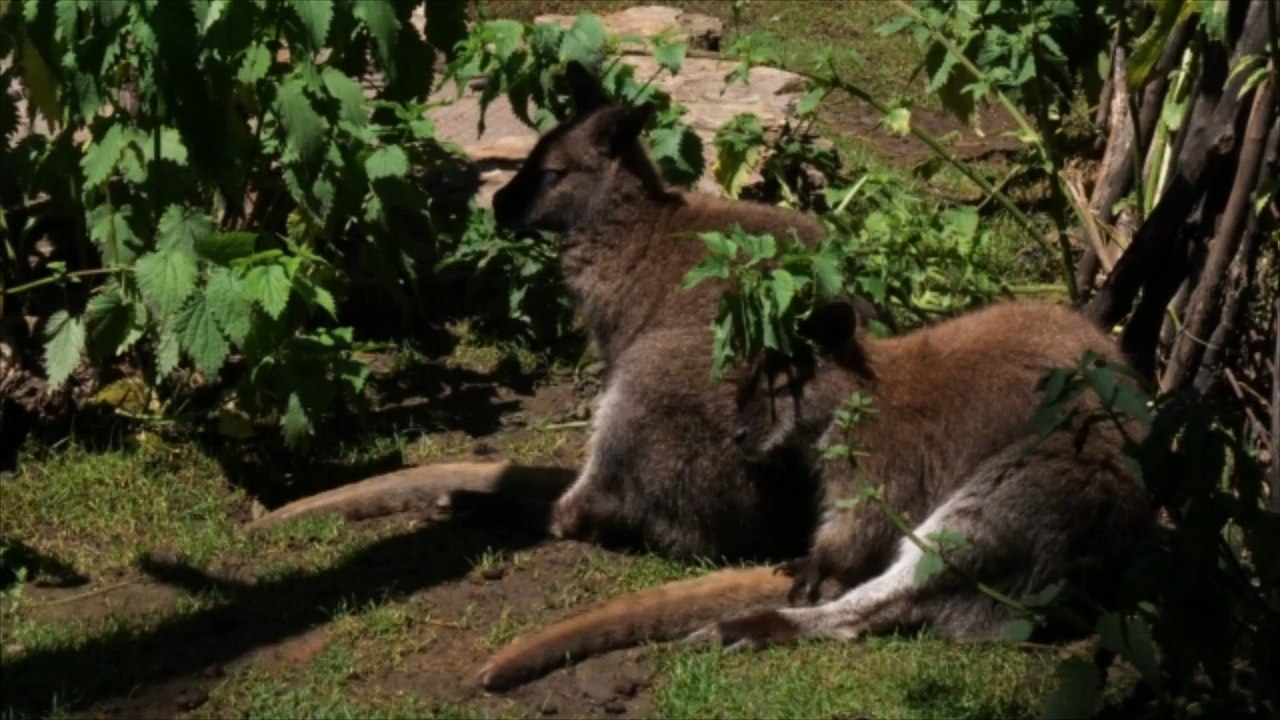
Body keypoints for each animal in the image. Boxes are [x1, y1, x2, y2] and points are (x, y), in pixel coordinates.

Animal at [478, 299, 1153, 690]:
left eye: (779, 386)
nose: (737, 435)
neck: (857, 392)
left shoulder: (879, 463)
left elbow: (859, 526)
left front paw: (812, 566)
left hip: (1039, 480)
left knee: (882, 599)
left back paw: (745, 626)